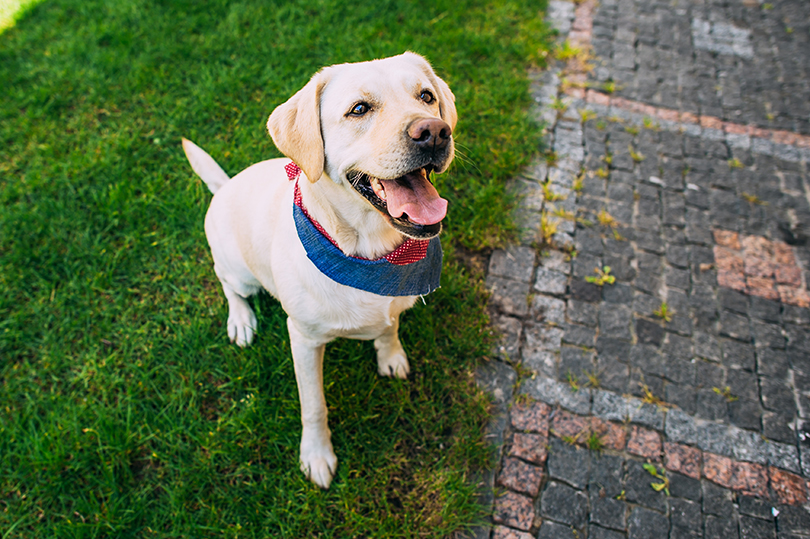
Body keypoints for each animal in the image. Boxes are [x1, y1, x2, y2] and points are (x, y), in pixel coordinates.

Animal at [182, 53, 454, 490]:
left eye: (426, 96)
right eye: (359, 109)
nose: (434, 132)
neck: (371, 254)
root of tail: (224, 187)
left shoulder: (392, 305)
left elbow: (390, 327)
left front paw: (390, 355)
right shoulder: (304, 340)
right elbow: (314, 406)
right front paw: (316, 454)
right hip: (237, 270)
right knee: (229, 285)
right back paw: (241, 319)